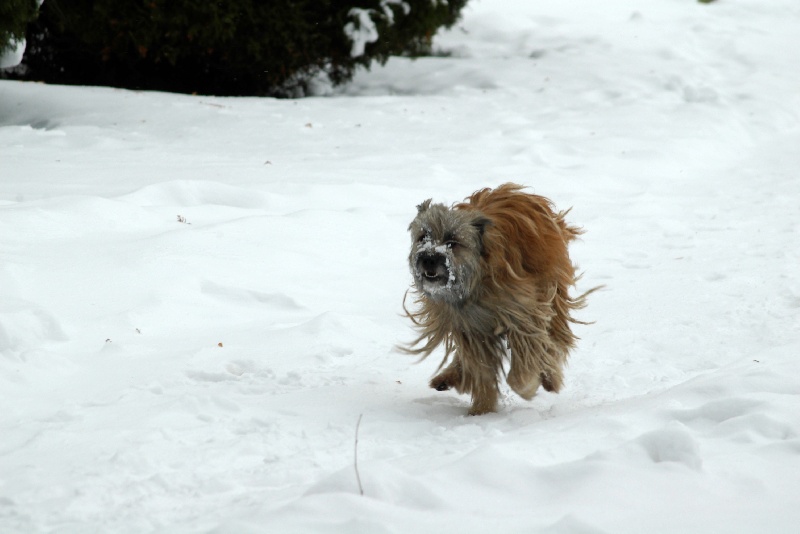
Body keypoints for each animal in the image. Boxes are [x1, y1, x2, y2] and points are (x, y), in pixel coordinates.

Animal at [400, 186, 592, 416]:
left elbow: (529, 355)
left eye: (452, 242)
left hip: (553, 293)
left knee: (555, 341)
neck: (475, 280)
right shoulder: (469, 327)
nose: (428, 258)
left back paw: (550, 378)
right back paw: (449, 377)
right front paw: (481, 409)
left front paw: (527, 385)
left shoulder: (523, 312)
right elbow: (481, 368)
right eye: (423, 236)